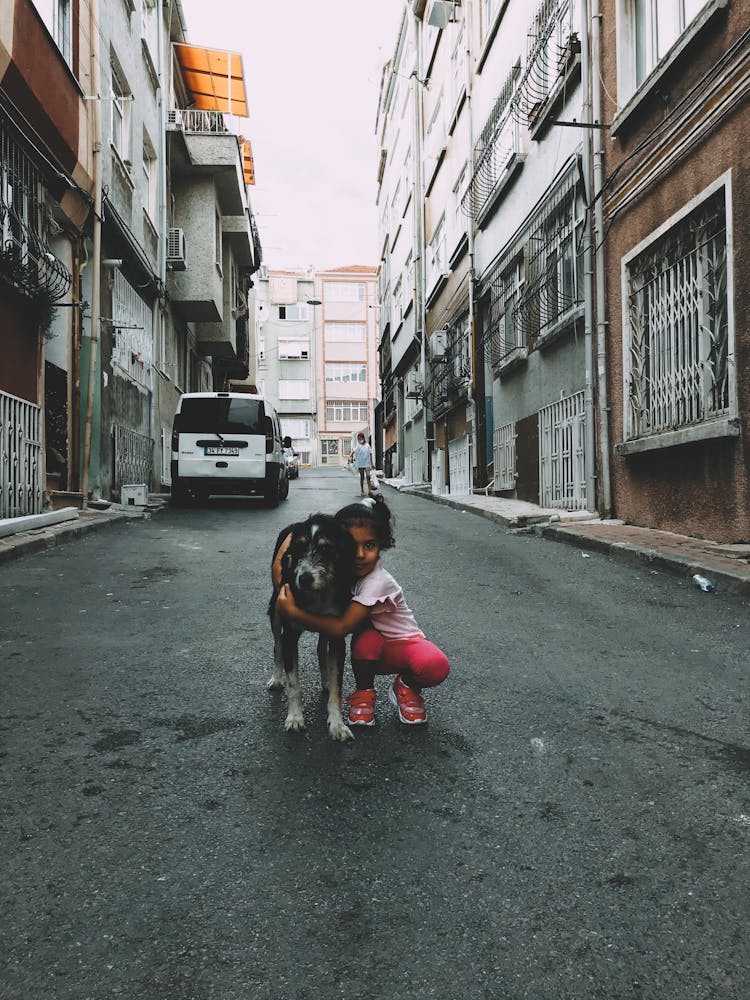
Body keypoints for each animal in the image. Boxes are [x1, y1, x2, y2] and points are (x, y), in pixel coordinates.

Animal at [268, 516, 356, 744]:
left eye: (326, 549)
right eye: (298, 548)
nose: (304, 579)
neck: (318, 594)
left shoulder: (337, 636)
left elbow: (337, 686)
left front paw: (337, 724)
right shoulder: (290, 634)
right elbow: (293, 684)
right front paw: (295, 718)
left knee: (320, 648)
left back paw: (325, 679)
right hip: (275, 610)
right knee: (277, 645)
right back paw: (276, 677)